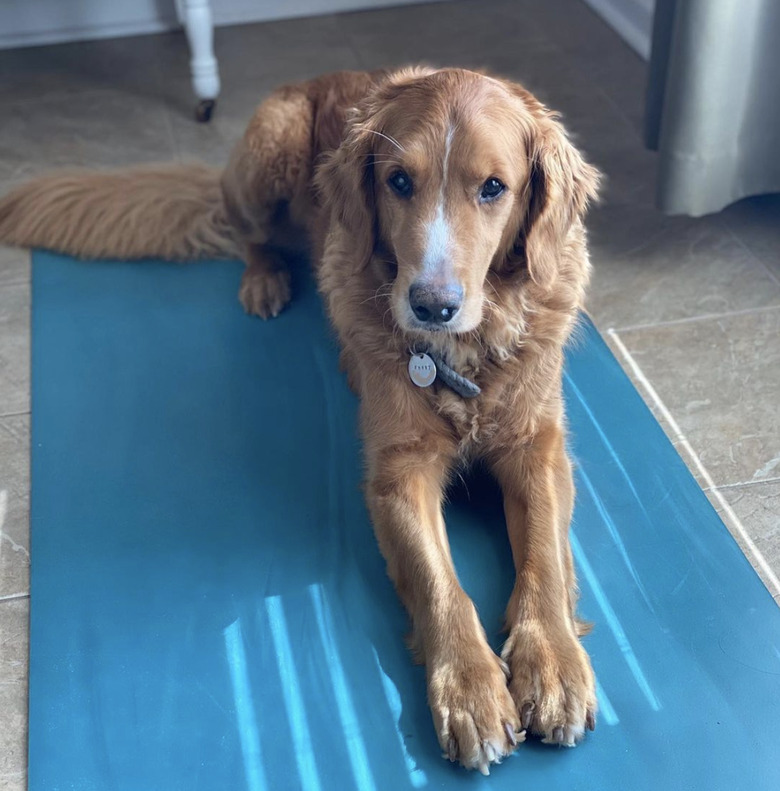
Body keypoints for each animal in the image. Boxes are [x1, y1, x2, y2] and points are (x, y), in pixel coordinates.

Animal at [0, 66, 600, 772]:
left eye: (493, 188)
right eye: (399, 181)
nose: (431, 306)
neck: (465, 351)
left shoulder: (539, 449)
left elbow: (545, 557)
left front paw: (553, 662)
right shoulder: (396, 475)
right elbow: (439, 583)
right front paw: (471, 690)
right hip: (271, 149)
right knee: (252, 239)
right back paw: (265, 281)